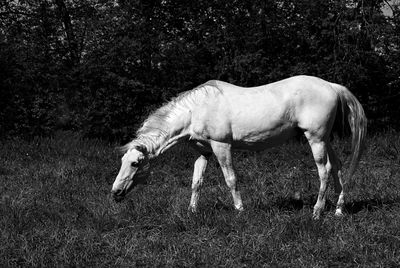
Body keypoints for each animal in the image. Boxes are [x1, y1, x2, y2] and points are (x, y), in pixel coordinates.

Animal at [110, 74, 366, 219]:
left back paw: (317, 211)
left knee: (324, 171)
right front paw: (192, 212)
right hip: (325, 139)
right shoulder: (204, 152)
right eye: (122, 162)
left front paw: (240, 210)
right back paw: (339, 210)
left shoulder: (221, 146)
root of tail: (331, 86)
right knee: (338, 167)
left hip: (316, 139)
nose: (115, 193)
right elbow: (196, 182)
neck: (195, 110)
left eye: (135, 163)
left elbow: (231, 179)